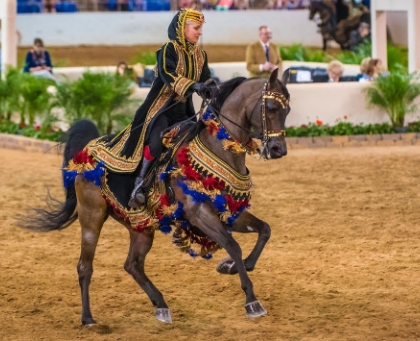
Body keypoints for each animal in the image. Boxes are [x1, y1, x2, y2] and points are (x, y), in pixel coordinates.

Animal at [21, 67, 290, 326]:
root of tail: (87, 150)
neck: (218, 148)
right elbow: (233, 245)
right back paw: (88, 319)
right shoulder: (200, 213)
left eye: (288, 109)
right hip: (91, 217)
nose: (279, 150)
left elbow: (264, 230)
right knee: (85, 266)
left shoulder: (230, 212)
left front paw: (232, 267)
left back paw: (161, 306)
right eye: (272, 107)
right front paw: (251, 300)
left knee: (133, 264)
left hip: (140, 226)